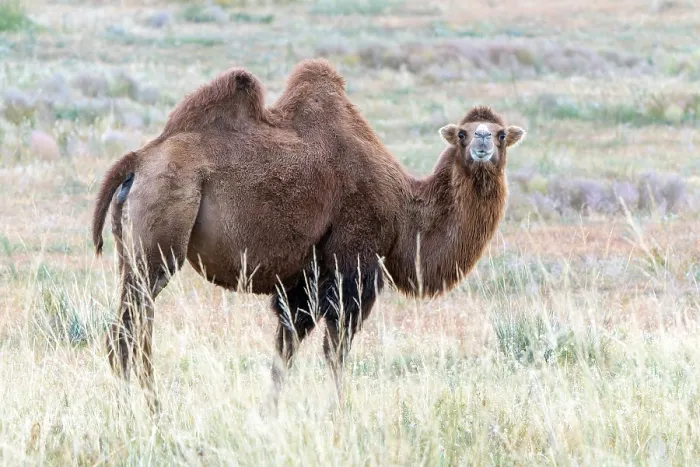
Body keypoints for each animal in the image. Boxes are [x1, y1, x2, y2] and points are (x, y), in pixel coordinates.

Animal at [91, 59, 525, 410]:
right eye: (463, 134)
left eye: (500, 133)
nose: (482, 142)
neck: (406, 212)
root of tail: (138, 161)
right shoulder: (353, 269)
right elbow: (336, 353)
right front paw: (340, 411)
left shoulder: (301, 282)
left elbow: (284, 351)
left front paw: (269, 412)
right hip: (159, 242)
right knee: (126, 334)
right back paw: (148, 411)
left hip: (132, 252)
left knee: (133, 330)